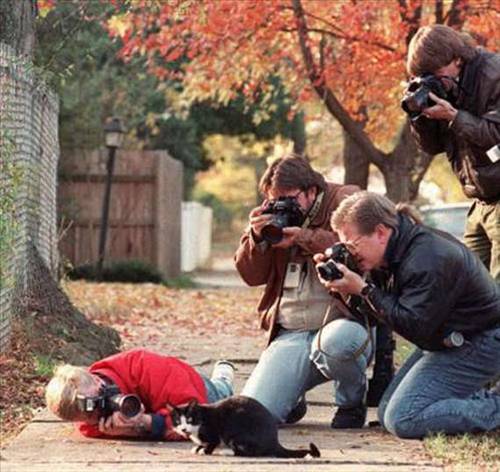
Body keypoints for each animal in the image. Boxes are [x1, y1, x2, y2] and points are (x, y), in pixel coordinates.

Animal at [171, 394, 320, 458]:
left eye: (189, 419)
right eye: (178, 422)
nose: (183, 429)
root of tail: (275, 442)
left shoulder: (213, 431)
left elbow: (212, 442)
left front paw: (204, 450)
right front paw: (198, 447)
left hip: (234, 432)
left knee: (249, 452)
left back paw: (227, 452)